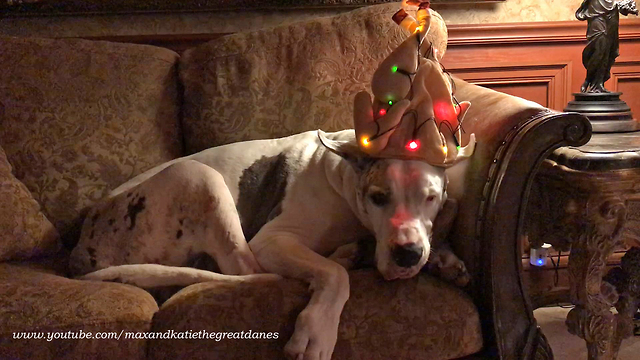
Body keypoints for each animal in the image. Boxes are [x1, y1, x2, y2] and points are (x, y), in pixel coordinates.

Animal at [70, 129, 470, 360]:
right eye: (378, 197)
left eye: (430, 197)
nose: (407, 254)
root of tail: (81, 246)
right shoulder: (273, 240)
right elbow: (333, 275)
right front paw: (316, 329)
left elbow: (449, 210)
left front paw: (445, 259)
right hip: (201, 176)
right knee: (248, 269)